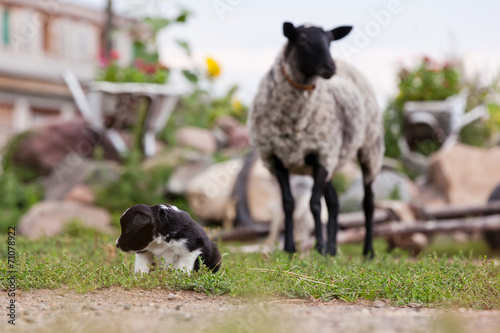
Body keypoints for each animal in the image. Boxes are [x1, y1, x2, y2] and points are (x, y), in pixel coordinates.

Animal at [248, 22, 384, 258]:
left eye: (330, 40)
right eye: (302, 39)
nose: (330, 67)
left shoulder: (321, 156)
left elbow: (314, 204)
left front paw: (318, 248)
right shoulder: (275, 159)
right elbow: (289, 204)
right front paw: (290, 248)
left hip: (369, 149)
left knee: (367, 202)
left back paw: (367, 251)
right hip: (332, 160)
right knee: (334, 202)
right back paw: (333, 250)